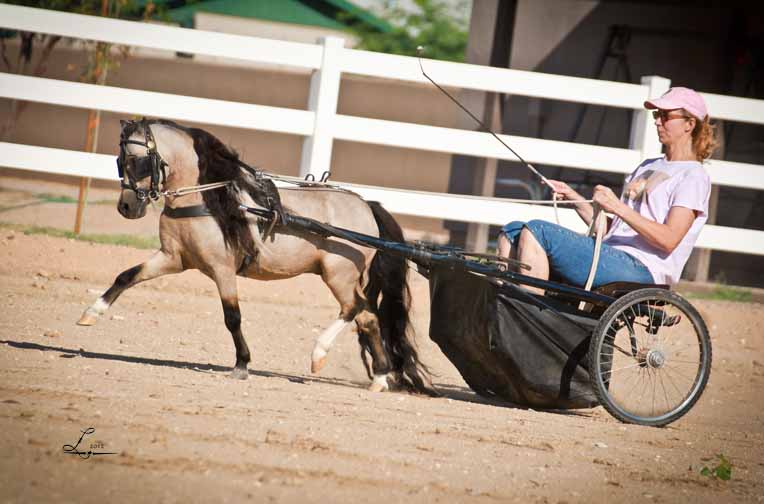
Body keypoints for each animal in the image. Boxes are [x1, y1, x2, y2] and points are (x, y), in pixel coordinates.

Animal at [77, 118, 431, 394]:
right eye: (119, 161)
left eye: (137, 160)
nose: (126, 206)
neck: (207, 198)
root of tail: (366, 206)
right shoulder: (173, 259)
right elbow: (127, 275)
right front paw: (91, 313)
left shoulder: (221, 269)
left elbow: (232, 317)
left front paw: (241, 364)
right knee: (368, 317)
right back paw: (380, 377)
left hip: (338, 274)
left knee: (354, 308)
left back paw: (319, 354)